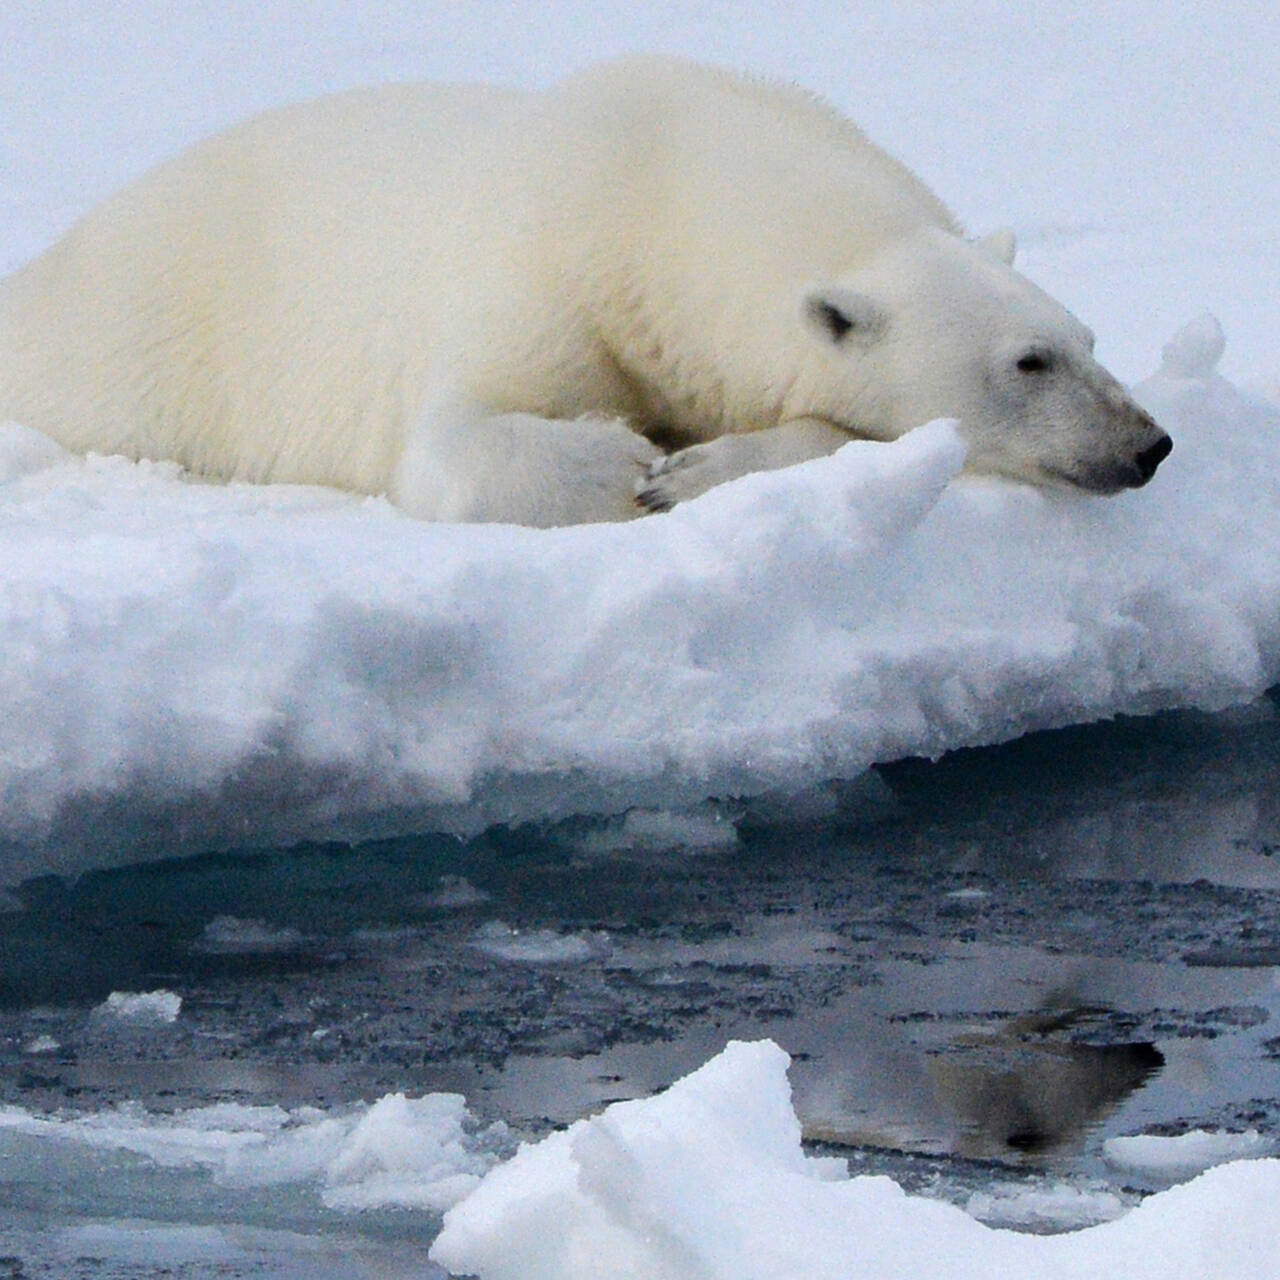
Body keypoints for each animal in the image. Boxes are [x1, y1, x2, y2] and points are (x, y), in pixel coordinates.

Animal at [0, 55, 1172, 524]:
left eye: (1090, 337)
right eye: (1029, 361)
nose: (1148, 444)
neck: (659, 183)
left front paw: (699, 463)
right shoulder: (541, 267)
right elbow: (454, 447)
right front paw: (629, 460)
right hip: (133, 342)